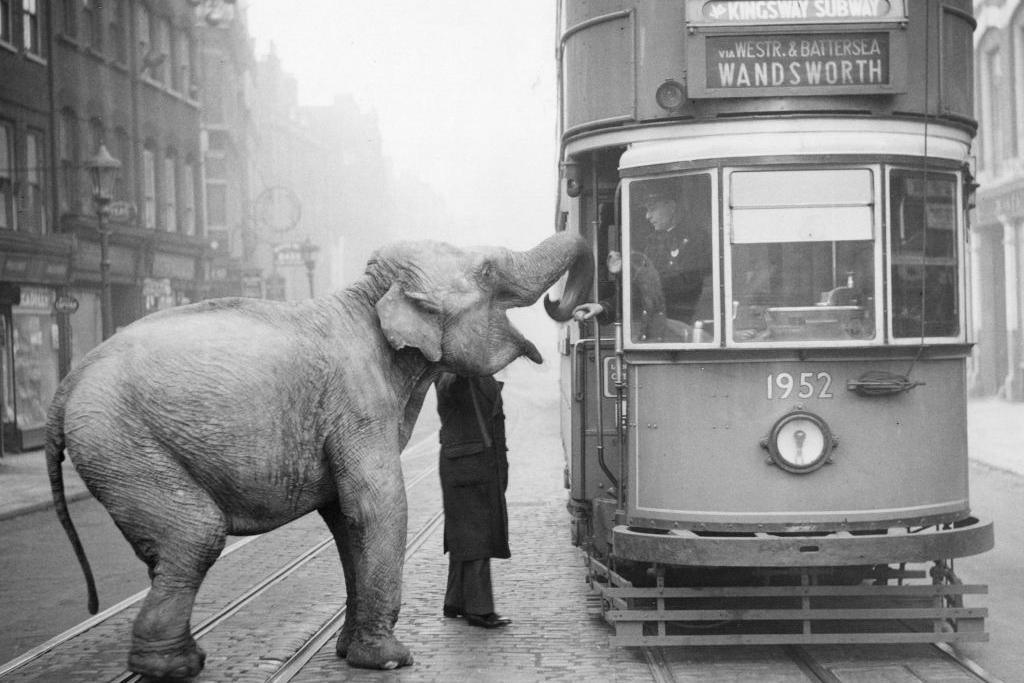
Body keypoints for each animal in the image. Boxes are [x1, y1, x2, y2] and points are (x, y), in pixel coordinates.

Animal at [46, 232, 593, 679]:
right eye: (487, 272)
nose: (562, 304)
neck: (367, 296)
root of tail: (67, 385)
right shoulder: (356, 404)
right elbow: (378, 507)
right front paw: (389, 661)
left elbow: (345, 518)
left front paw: (349, 652)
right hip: (122, 442)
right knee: (196, 534)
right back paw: (173, 666)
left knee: (162, 548)